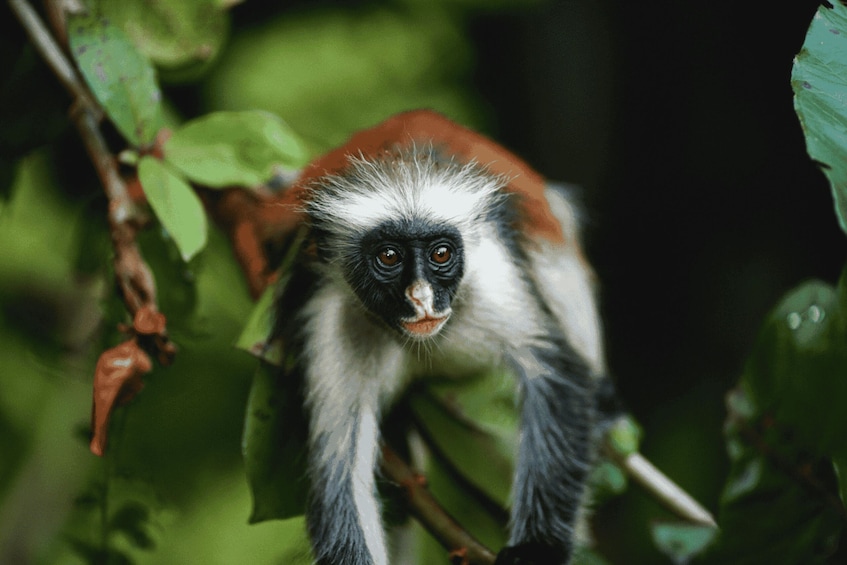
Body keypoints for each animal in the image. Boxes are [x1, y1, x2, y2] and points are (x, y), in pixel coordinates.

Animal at [271, 110, 608, 565]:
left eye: (441, 254)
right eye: (389, 257)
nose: (422, 298)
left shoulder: (491, 274)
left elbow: (556, 374)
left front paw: (535, 550)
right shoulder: (332, 313)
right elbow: (338, 467)